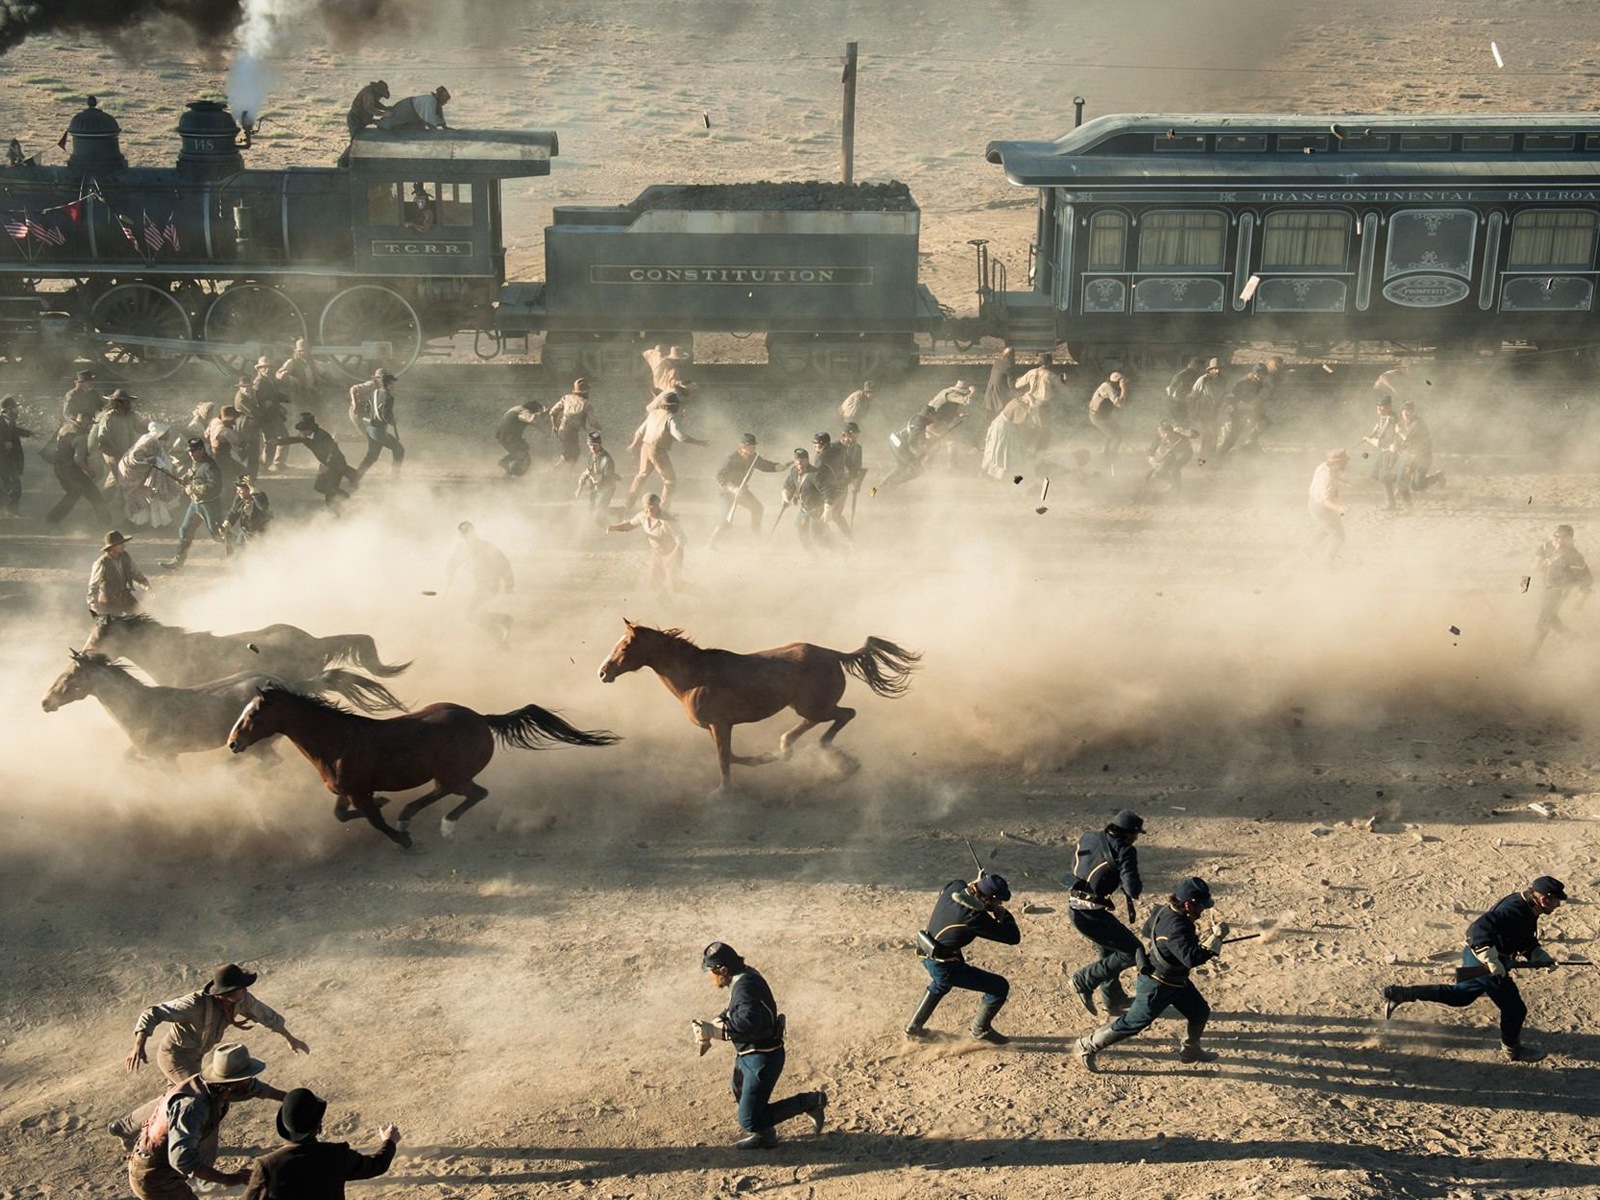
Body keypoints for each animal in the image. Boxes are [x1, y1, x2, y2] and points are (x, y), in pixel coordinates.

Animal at [225, 691, 617, 851]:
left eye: (254, 714)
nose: (232, 742)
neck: (337, 741)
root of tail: (482, 719)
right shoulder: (346, 793)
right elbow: (342, 816)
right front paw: (388, 806)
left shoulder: (358, 791)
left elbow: (374, 821)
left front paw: (404, 840)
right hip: (446, 775)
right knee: (444, 793)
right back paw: (407, 814)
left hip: (456, 775)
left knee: (476, 793)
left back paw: (442, 826)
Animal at [598, 624, 921, 793]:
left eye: (625, 647)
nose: (602, 673)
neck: (695, 677)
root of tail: (834, 654)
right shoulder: (717, 727)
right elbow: (731, 756)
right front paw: (763, 759)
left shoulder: (720, 724)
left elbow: (724, 759)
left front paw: (723, 792)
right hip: (807, 708)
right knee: (820, 723)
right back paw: (788, 748)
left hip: (814, 707)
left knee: (846, 714)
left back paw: (836, 759)